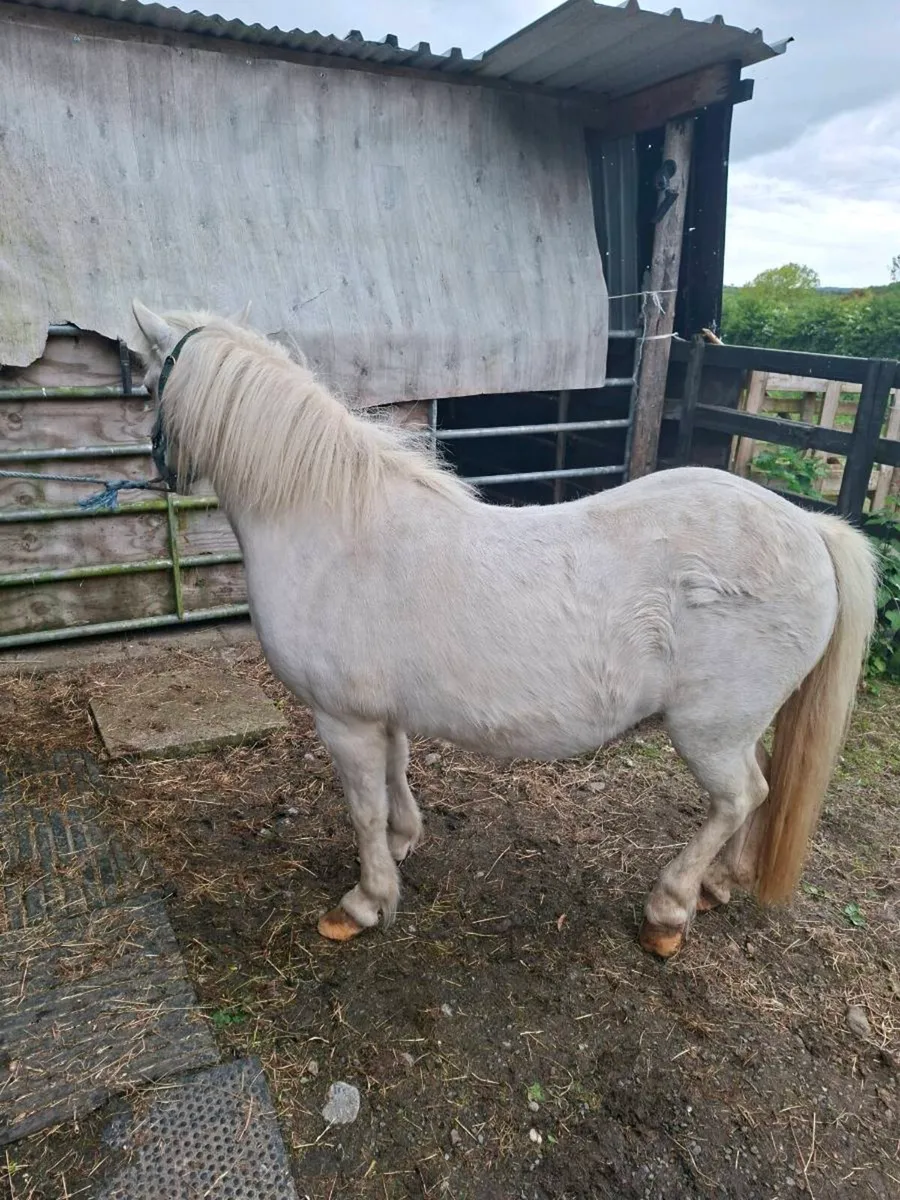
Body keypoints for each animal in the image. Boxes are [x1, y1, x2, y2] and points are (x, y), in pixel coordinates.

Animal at [131, 300, 878, 958]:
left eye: (145, 385)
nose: (162, 472)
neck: (332, 526)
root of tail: (807, 526)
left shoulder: (343, 720)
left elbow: (363, 808)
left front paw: (366, 902)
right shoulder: (382, 715)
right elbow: (398, 773)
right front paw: (403, 843)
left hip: (710, 730)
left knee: (740, 796)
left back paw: (669, 909)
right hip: (743, 725)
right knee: (760, 789)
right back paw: (720, 883)